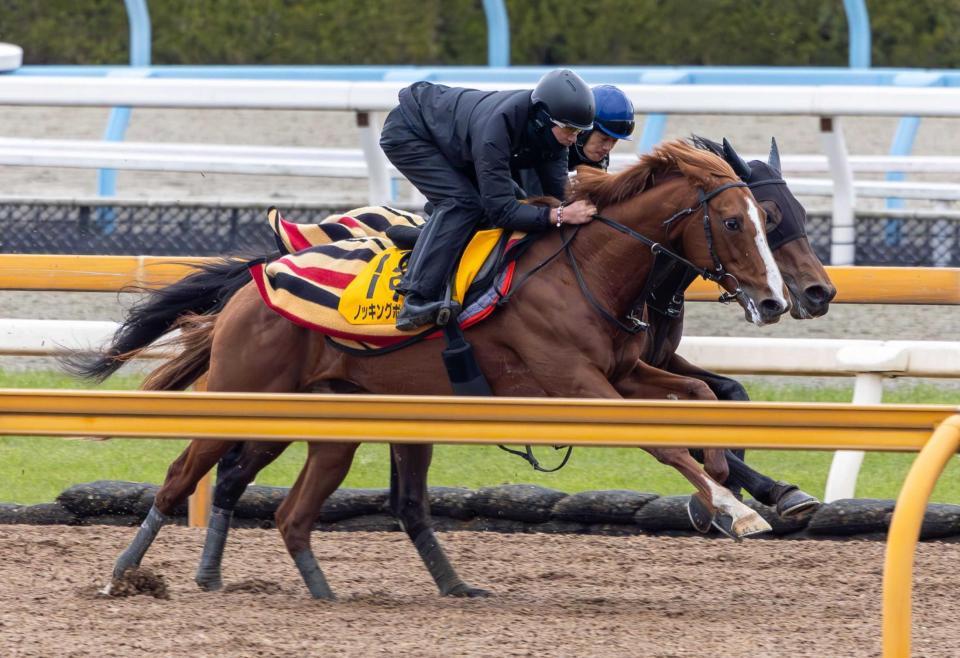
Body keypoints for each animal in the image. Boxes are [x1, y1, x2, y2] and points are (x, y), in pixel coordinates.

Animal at [67, 141, 792, 596]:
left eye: (768, 220)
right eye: (735, 221)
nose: (777, 301)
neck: (585, 269)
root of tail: (255, 281)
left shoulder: (623, 373)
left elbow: (700, 392)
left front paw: (730, 482)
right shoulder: (576, 384)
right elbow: (666, 439)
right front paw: (733, 507)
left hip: (317, 416)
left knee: (263, 493)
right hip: (242, 395)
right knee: (181, 475)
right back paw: (122, 575)